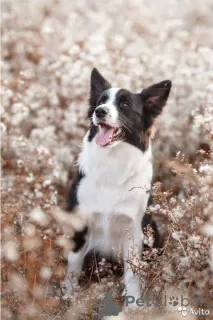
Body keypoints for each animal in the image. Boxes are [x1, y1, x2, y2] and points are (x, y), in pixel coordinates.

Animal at [62, 69, 171, 306]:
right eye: (100, 102)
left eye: (125, 105)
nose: (100, 111)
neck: (112, 163)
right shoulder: (80, 222)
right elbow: (73, 264)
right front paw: (67, 297)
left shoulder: (134, 229)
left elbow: (133, 274)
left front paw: (133, 307)